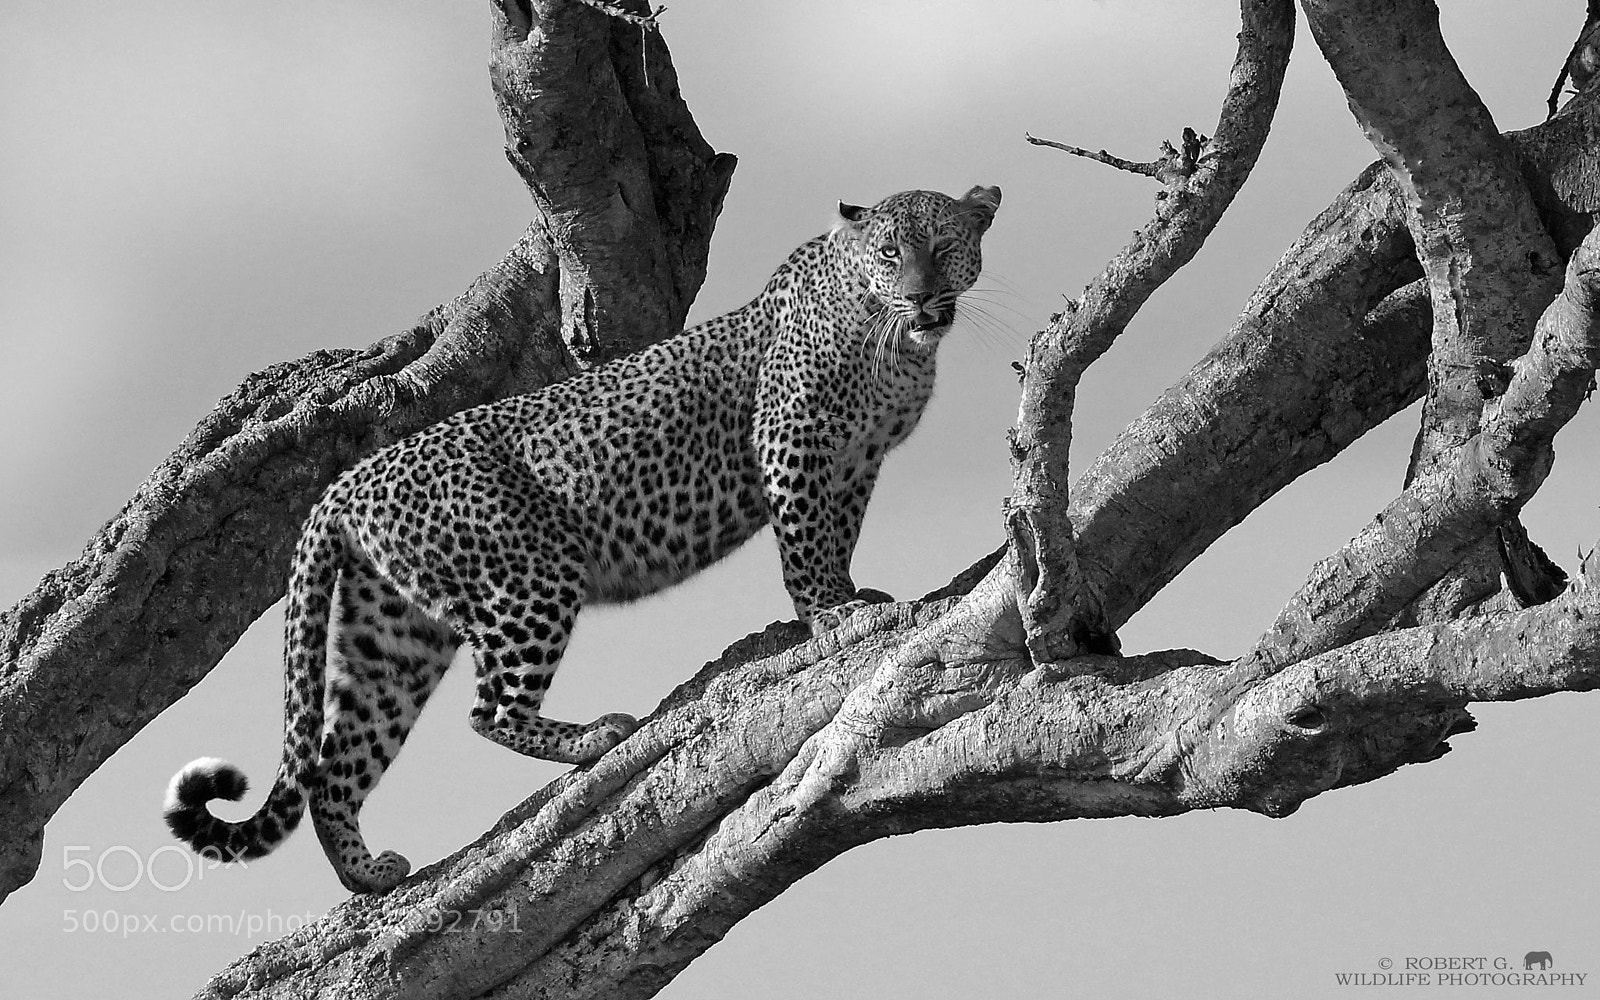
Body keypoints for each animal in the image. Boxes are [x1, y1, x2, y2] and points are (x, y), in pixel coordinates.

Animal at [163, 184, 1001, 893]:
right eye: (890, 252)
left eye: (942, 245)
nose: (923, 294)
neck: (896, 344)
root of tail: (339, 487)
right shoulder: (791, 439)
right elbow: (804, 539)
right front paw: (828, 613)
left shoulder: (859, 463)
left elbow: (838, 533)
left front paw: (851, 592)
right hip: (529, 579)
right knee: (488, 709)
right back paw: (593, 739)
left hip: (392, 632)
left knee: (340, 760)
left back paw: (367, 875)